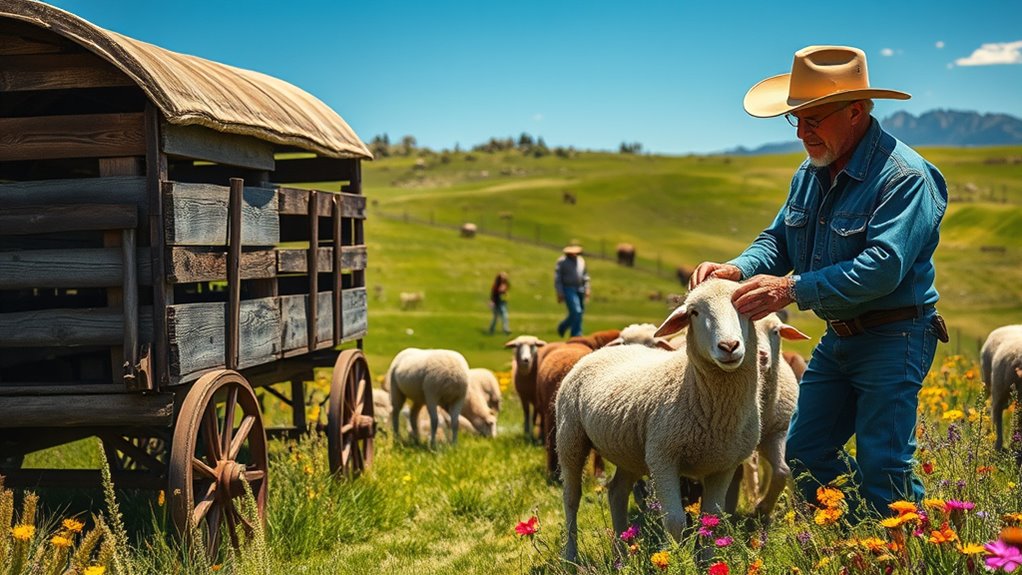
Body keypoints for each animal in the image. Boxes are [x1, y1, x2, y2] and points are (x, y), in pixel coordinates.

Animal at [556, 279, 761, 562]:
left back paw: (622, 553)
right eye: (694, 313)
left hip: (630, 450)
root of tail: (597, 353)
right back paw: (570, 557)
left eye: (744, 306)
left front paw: (707, 562)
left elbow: (712, 520)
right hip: (570, 436)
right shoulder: (663, 456)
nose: (729, 346)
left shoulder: (724, 465)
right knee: (571, 498)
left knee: (616, 491)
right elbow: (674, 522)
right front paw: (674, 560)